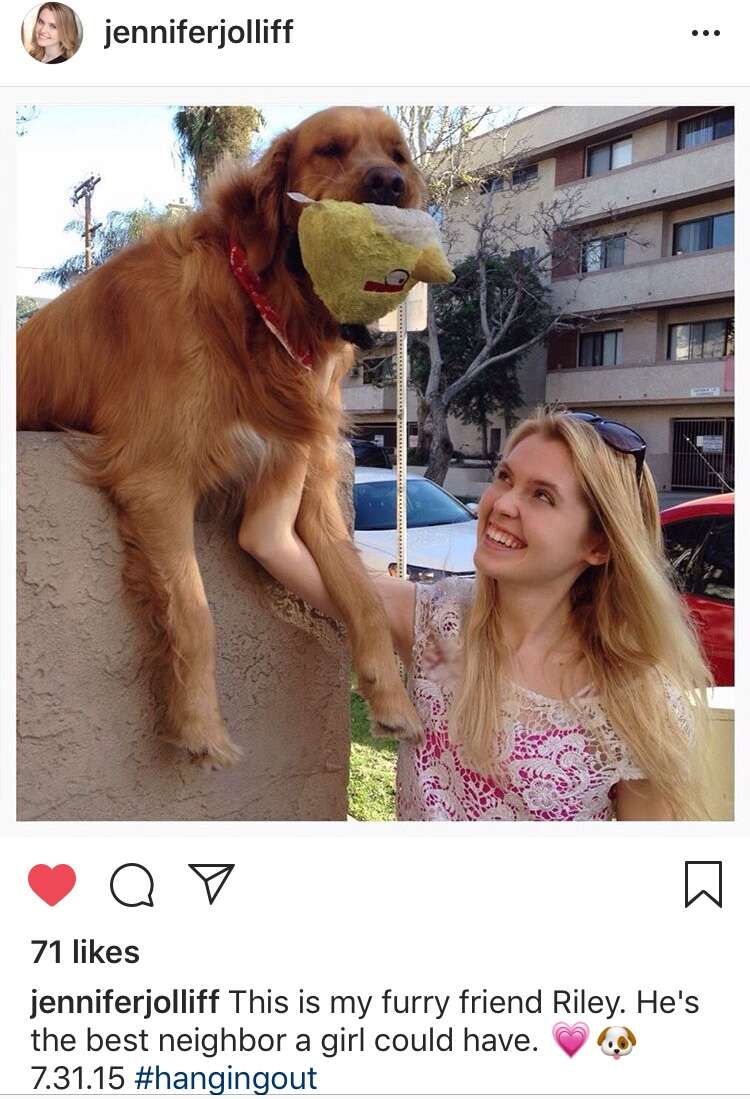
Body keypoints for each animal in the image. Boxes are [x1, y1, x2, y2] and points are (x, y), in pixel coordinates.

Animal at [17, 109, 424, 764]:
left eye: (399, 157)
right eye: (330, 150)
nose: (390, 184)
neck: (254, 309)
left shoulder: (309, 481)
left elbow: (361, 594)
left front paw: (391, 700)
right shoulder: (156, 477)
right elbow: (194, 610)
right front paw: (198, 726)